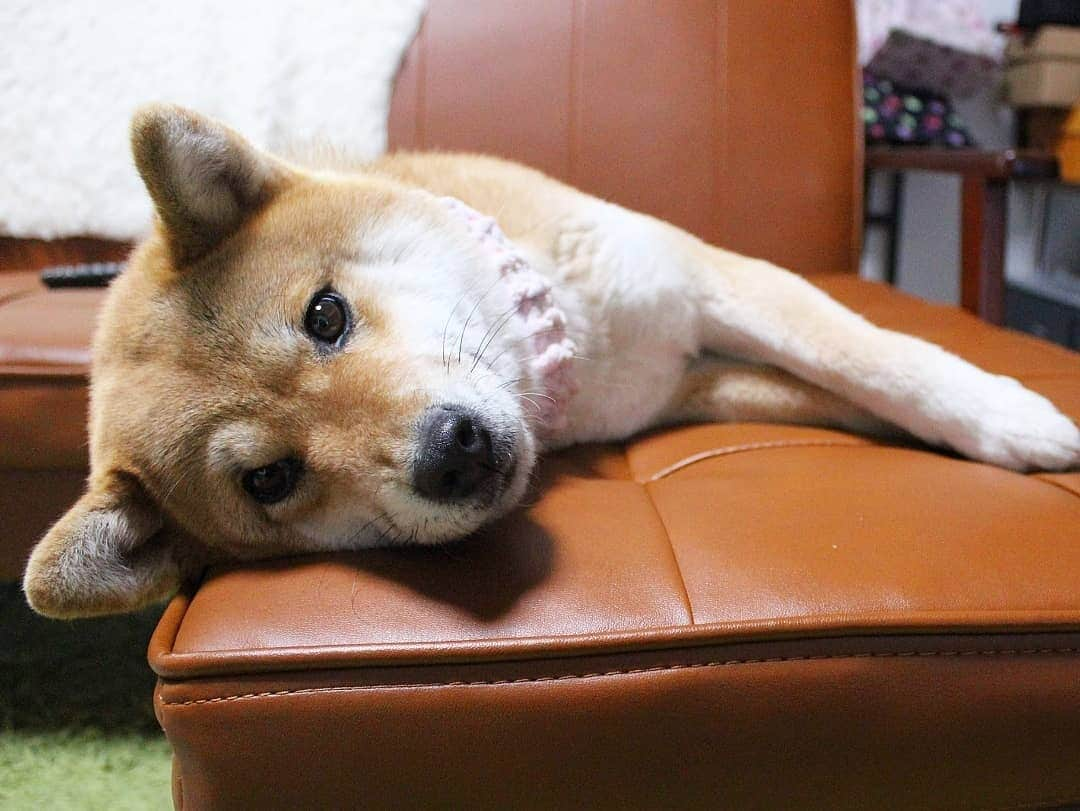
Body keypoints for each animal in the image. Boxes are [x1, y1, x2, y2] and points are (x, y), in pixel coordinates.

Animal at [19, 104, 1080, 617]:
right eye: (270, 479)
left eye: (325, 315)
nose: (449, 453)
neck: (576, 347)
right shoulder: (683, 386)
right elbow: (835, 393)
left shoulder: (707, 282)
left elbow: (880, 360)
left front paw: (1012, 415)